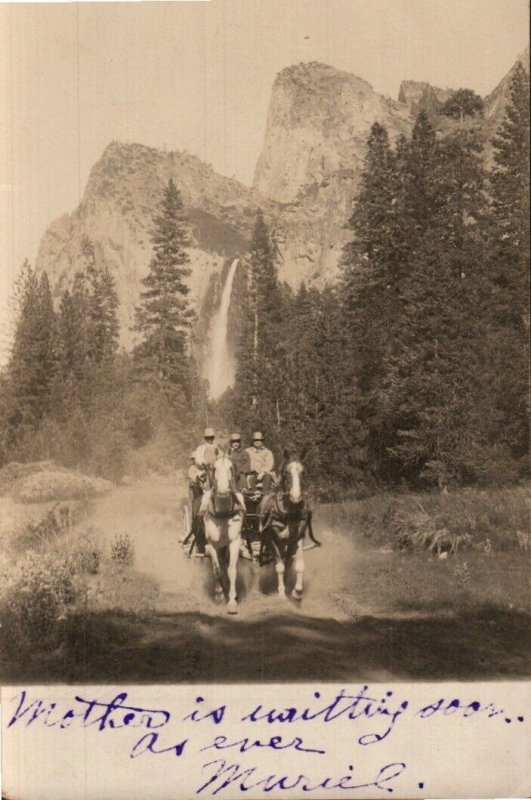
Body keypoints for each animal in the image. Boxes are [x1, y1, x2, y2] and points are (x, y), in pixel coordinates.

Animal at [198, 456, 244, 612]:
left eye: (231, 467)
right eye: (213, 468)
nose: (223, 490)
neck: (223, 513)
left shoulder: (234, 541)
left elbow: (231, 569)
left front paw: (232, 601)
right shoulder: (212, 544)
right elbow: (216, 570)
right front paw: (219, 595)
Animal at [258, 450, 320, 600]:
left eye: (304, 472)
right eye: (286, 472)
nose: (296, 497)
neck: (288, 513)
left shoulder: (298, 537)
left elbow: (298, 565)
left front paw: (296, 591)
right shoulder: (272, 539)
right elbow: (279, 566)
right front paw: (281, 593)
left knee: (287, 560)